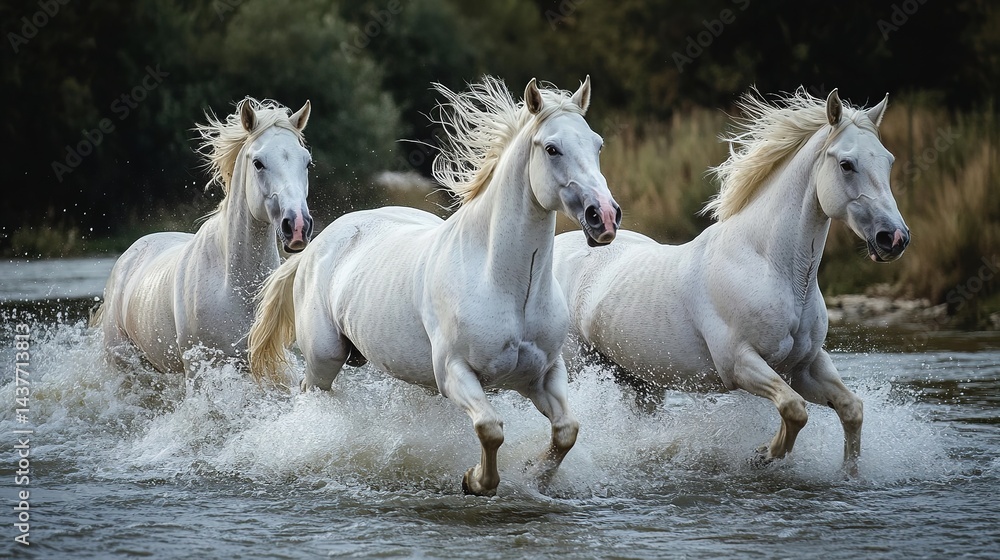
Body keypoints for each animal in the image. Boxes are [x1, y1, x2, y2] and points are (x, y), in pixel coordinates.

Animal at [248, 76, 621, 496]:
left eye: (597, 144)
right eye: (552, 148)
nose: (605, 217)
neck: (506, 285)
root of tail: (316, 244)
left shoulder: (544, 374)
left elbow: (566, 431)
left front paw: (532, 474)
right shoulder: (455, 373)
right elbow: (490, 428)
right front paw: (475, 480)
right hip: (323, 361)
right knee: (312, 395)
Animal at [553, 88, 909, 474]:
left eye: (889, 160)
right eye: (846, 164)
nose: (894, 239)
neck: (773, 268)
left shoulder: (804, 365)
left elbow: (851, 409)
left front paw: (848, 474)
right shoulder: (740, 363)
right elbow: (794, 410)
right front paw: (763, 454)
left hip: (639, 380)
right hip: (579, 366)